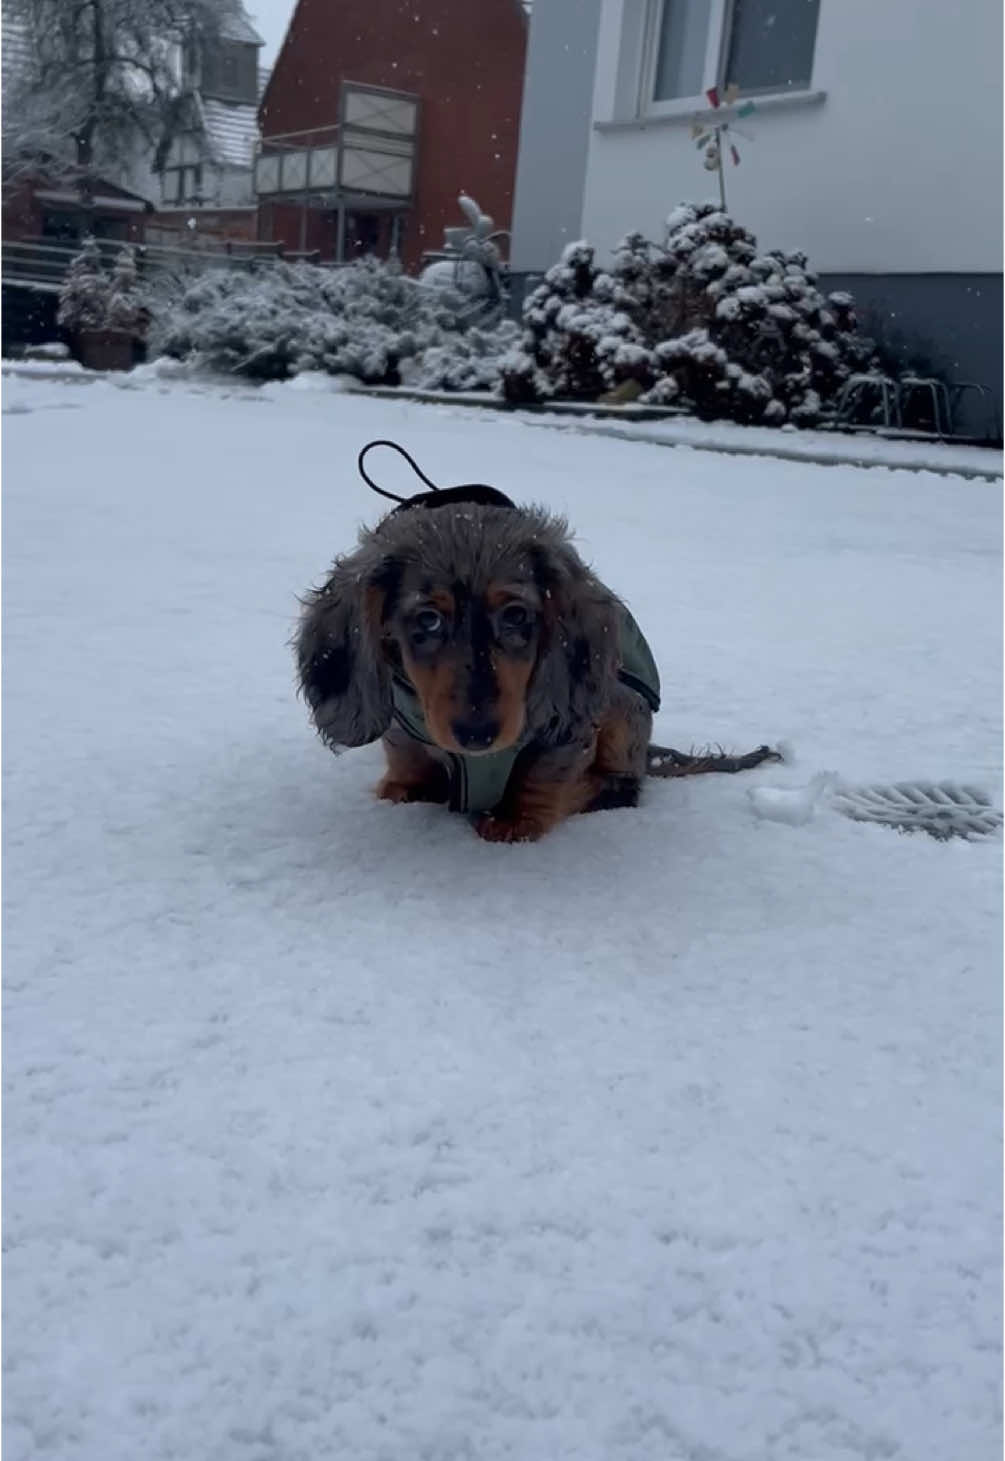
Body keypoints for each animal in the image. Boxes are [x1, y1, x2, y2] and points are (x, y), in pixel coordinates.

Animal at [295, 502, 771, 847]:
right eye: (428, 619)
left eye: (516, 615)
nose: (477, 735)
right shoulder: (403, 723)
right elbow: (406, 756)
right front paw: (404, 791)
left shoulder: (567, 732)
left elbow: (545, 774)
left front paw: (515, 821)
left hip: (625, 702)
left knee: (622, 786)